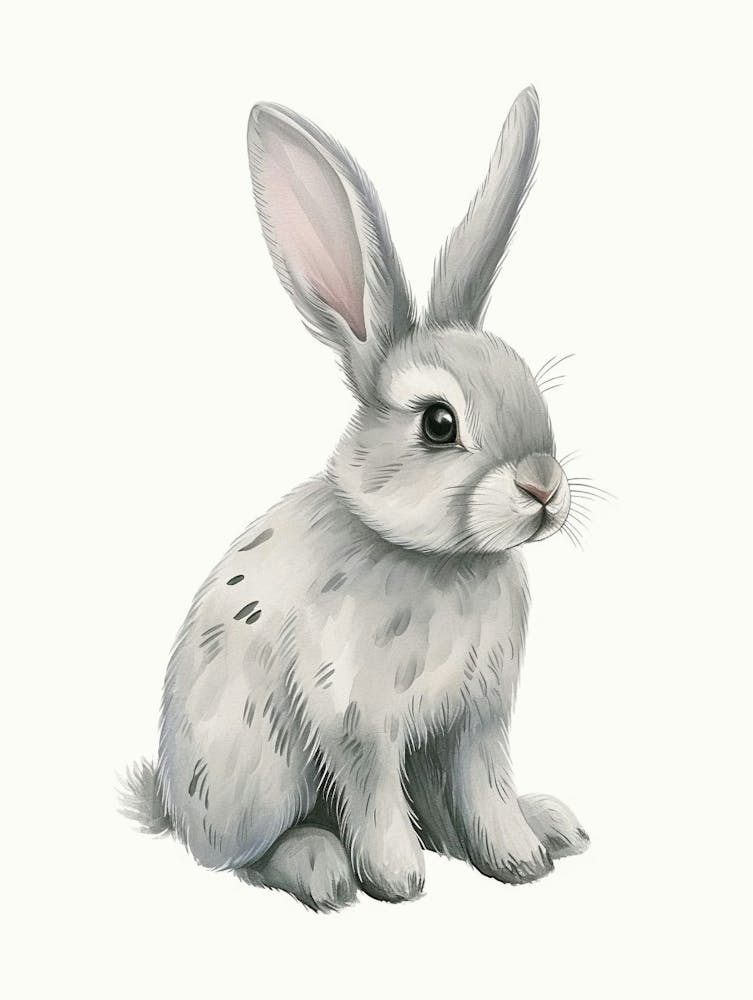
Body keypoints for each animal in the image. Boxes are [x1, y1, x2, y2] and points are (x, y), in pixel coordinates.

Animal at [121, 85, 590, 911]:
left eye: (532, 389)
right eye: (438, 423)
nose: (543, 486)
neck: (440, 560)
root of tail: (172, 809)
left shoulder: (477, 721)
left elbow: (485, 791)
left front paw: (519, 859)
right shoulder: (355, 719)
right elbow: (371, 793)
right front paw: (397, 879)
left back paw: (550, 824)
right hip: (262, 773)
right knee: (246, 856)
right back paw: (322, 867)